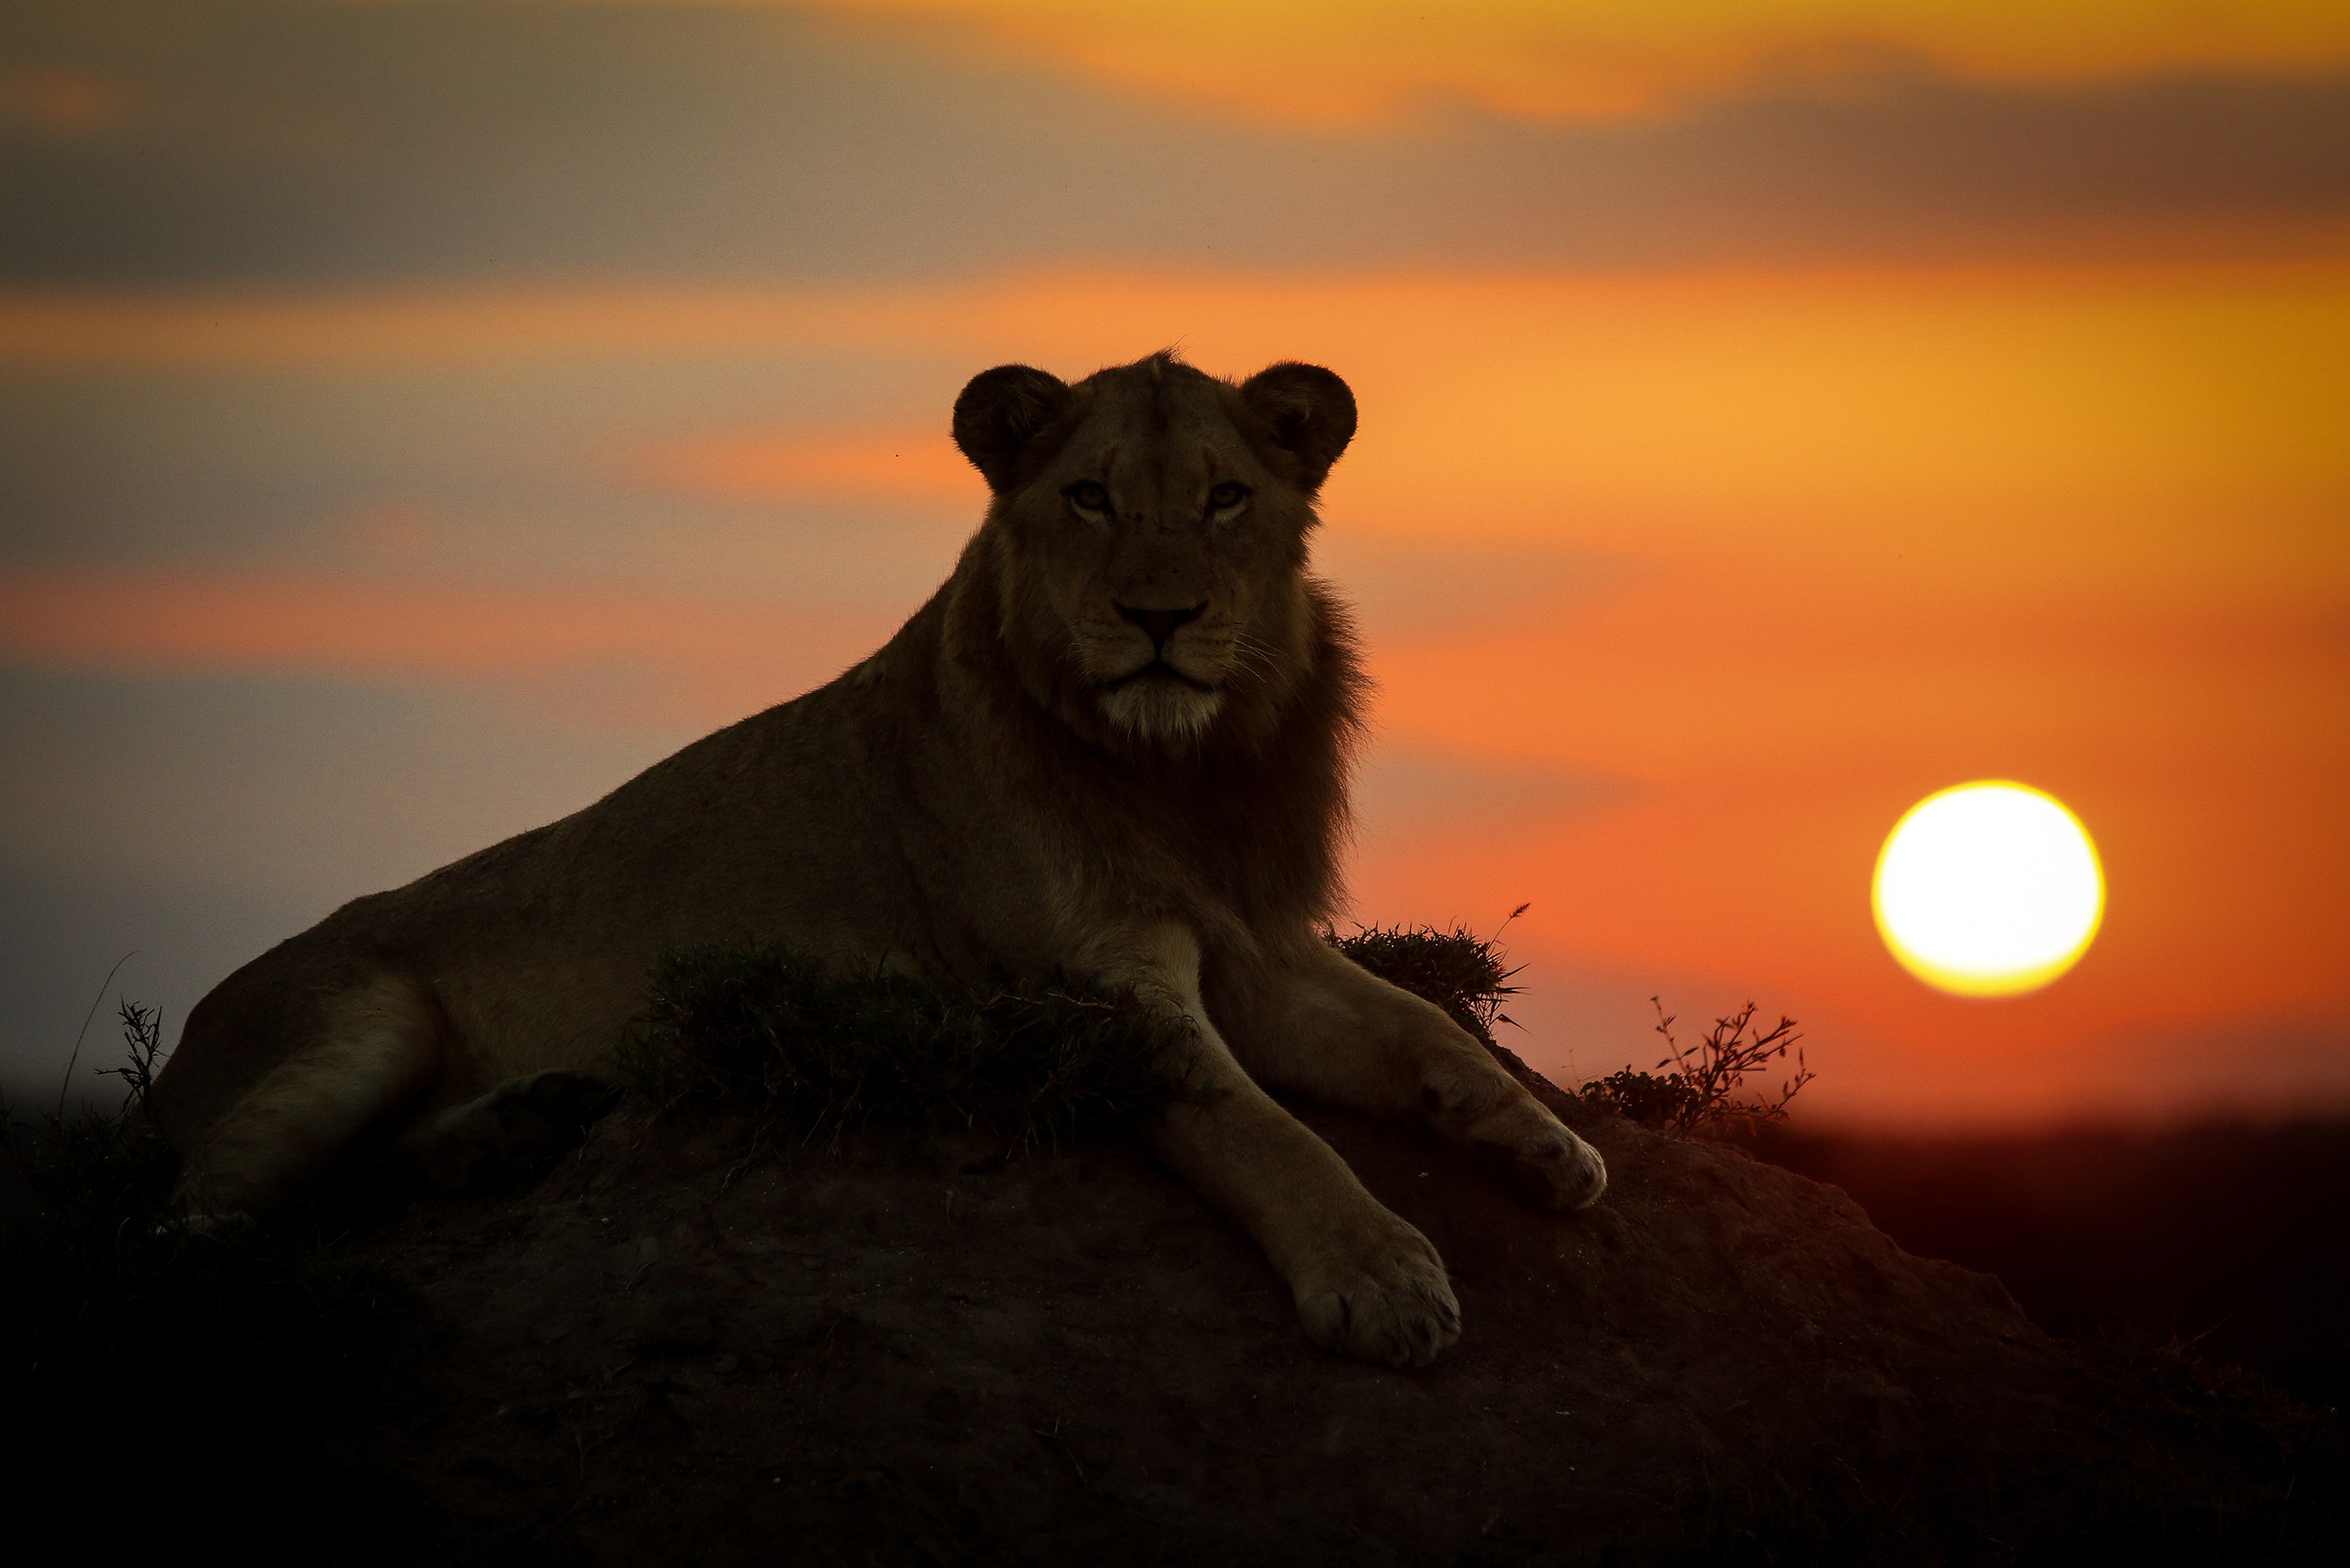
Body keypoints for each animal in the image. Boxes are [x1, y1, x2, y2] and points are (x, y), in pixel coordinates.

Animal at [148, 352, 1606, 1367]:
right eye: (1090, 499)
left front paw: (1544, 1146)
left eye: (1225, 499)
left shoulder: (1257, 948)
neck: (1185, 770)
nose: (1160, 616)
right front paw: (1381, 1277)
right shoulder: (1092, 986)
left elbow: (1426, 1032)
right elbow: (1264, 1132)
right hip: (354, 1019)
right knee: (198, 1213)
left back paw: (521, 1130)